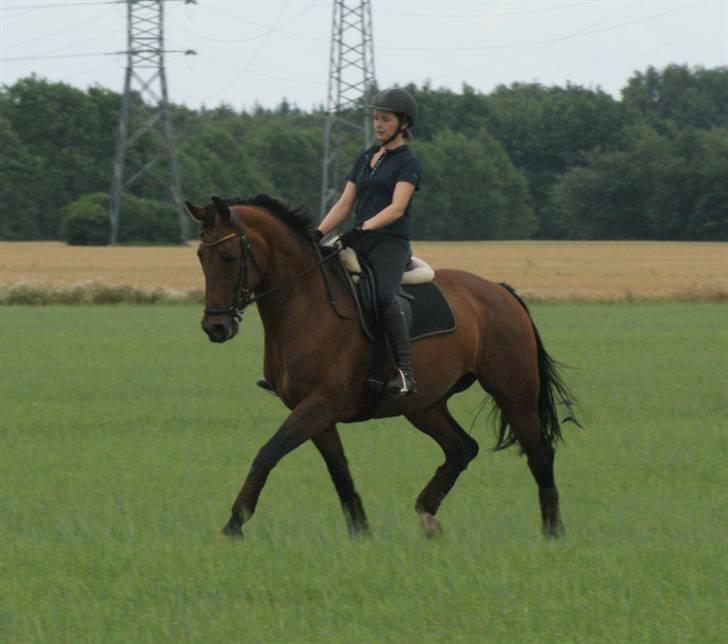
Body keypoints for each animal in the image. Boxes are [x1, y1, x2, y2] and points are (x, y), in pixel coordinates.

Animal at [185, 194, 576, 540]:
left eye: (229, 256)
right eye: (202, 256)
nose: (215, 327)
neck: (306, 304)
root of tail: (499, 290)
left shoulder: (318, 405)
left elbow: (267, 454)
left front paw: (234, 523)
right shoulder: (316, 413)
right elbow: (339, 471)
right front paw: (361, 532)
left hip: (513, 391)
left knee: (539, 452)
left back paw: (552, 531)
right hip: (424, 405)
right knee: (462, 448)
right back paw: (427, 514)